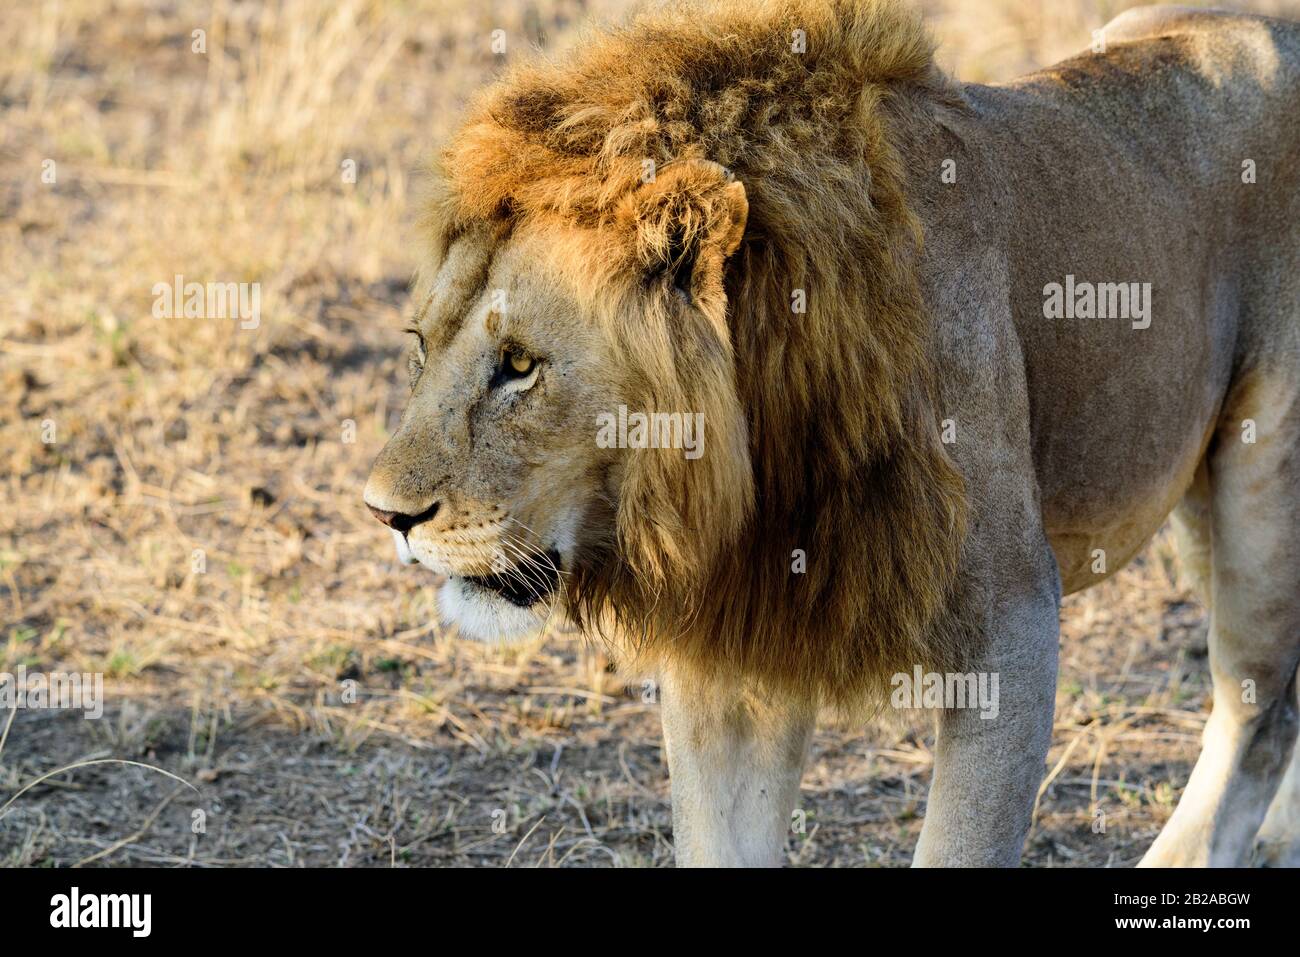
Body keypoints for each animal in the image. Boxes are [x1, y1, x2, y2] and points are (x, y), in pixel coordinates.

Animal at [364, 0, 1300, 867]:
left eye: (520, 364)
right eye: (420, 346)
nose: (386, 515)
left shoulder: (1011, 626)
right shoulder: (736, 647)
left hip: (1264, 491)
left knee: (1257, 707)